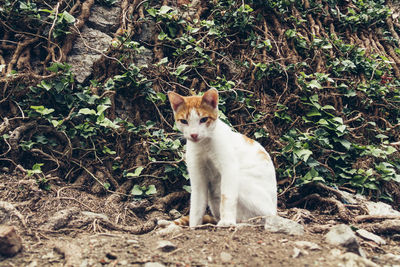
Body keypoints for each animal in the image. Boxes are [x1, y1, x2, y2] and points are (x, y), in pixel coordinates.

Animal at [167, 89, 276, 227]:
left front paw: (227, 222)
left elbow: (227, 197)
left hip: (243, 183)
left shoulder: (229, 168)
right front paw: (194, 226)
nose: (194, 134)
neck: (203, 145)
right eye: (184, 121)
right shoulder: (197, 176)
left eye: (203, 119)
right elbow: (197, 205)